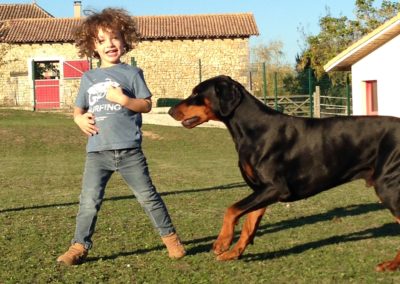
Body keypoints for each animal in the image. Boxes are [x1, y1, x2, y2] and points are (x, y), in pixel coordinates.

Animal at [167, 75, 400, 270]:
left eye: (196, 93)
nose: (170, 111)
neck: (253, 129)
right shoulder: (261, 191)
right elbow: (248, 225)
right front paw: (234, 253)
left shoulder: (276, 188)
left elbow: (231, 209)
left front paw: (222, 243)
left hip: (388, 187)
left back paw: (391, 265)